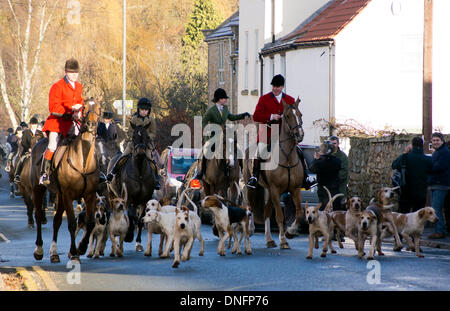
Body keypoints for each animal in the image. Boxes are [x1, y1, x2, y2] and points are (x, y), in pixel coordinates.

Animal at [30, 103, 100, 264]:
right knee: (38, 215)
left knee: (56, 221)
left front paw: (81, 248)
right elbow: (72, 223)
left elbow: (91, 222)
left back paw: (54, 253)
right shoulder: (68, 195)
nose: (91, 124)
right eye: (85, 107)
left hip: (60, 195)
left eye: (99, 107)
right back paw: (39, 250)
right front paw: (74, 254)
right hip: (38, 189)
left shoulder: (90, 195)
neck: (83, 162)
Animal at [108, 123, 157, 252]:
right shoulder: (129, 198)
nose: (141, 150)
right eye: (134, 136)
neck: (139, 172)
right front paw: (129, 236)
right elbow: (131, 216)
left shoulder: (145, 200)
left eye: (147, 136)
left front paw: (138, 243)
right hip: (112, 194)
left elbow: (140, 219)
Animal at [244, 98, 304, 250]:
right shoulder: (276, 190)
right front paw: (283, 240)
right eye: (287, 116)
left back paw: (269, 239)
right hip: (251, 187)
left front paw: (290, 232)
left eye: (300, 114)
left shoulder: (295, 189)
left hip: (269, 191)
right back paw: (251, 229)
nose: (300, 134)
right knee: (250, 206)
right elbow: (279, 216)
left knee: (266, 210)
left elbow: (299, 212)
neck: (287, 157)